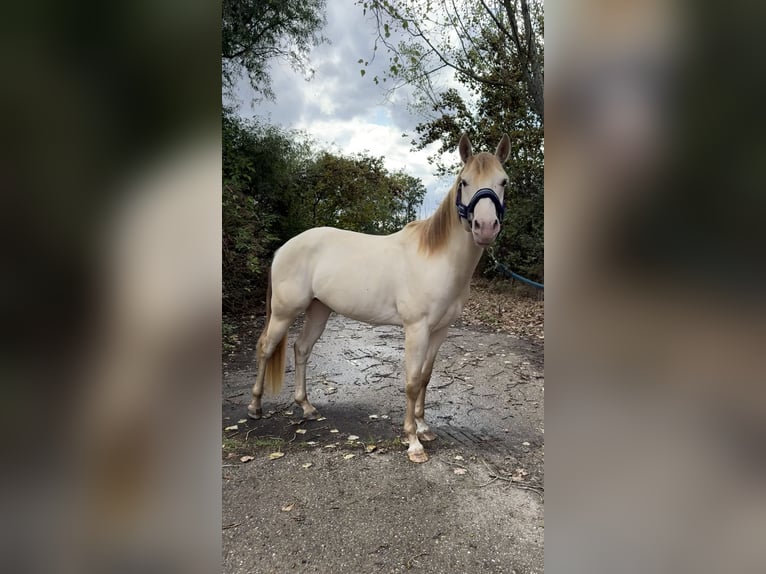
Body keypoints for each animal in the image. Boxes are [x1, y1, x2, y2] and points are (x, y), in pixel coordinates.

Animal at [248, 133, 511, 463]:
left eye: (503, 181)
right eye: (464, 182)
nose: (485, 228)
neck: (437, 259)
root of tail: (284, 248)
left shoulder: (440, 331)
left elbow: (426, 376)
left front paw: (424, 428)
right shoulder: (416, 329)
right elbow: (412, 381)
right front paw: (413, 442)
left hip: (319, 310)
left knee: (301, 349)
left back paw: (307, 407)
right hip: (285, 312)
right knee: (266, 348)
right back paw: (255, 408)